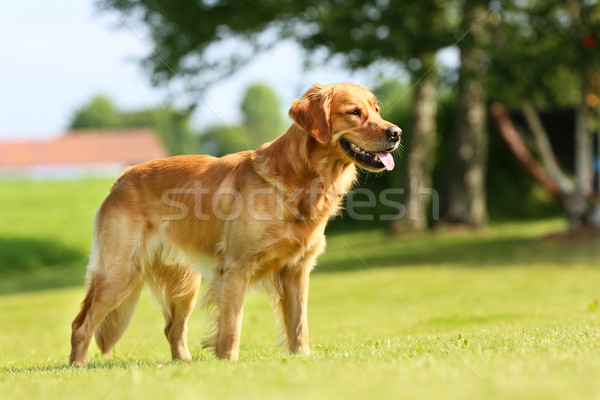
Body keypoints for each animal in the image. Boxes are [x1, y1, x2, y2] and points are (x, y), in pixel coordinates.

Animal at [70, 83, 400, 366]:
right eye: (354, 112)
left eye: (377, 109)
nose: (396, 132)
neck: (300, 179)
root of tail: (123, 177)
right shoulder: (237, 267)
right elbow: (232, 325)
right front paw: (228, 363)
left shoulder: (297, 269)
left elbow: (299, 325)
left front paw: (301, 358)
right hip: (121, 271)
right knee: (81, 324)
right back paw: (78, 366)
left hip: (184, 284)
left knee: (173, 328)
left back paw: (183, 362)